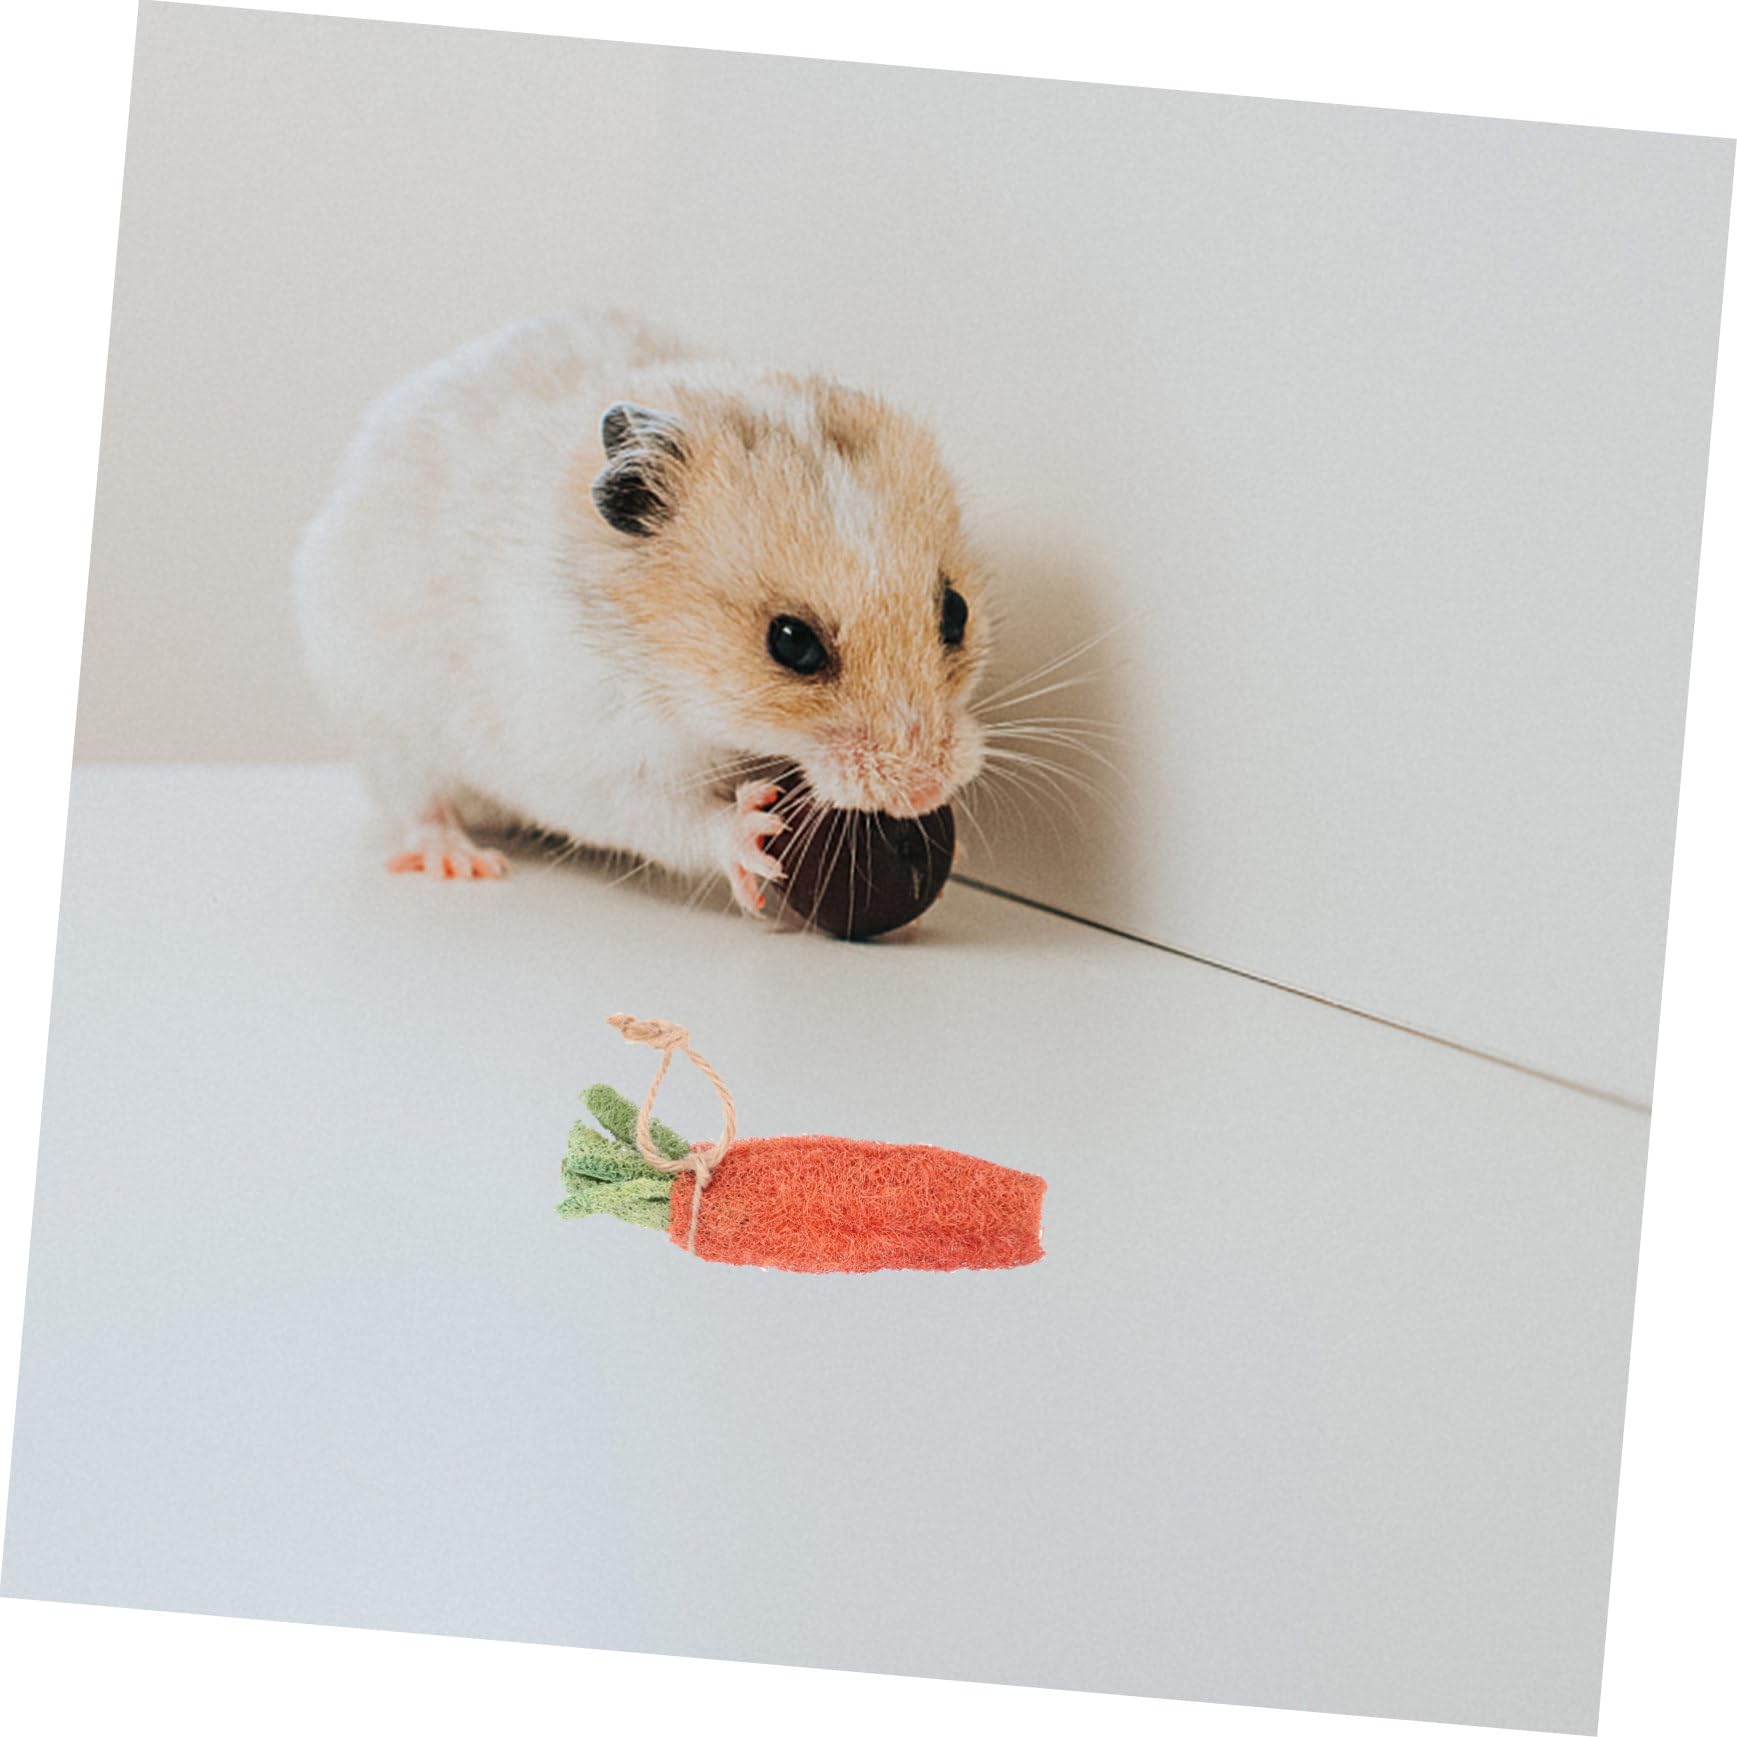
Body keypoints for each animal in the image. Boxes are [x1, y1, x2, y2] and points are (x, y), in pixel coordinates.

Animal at [292, 312, 992, 913]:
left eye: (956, 613)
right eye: (791, 642)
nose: (923, 791)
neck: (672, 675)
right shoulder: (591, 761)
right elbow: (668, 818)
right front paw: (753, 839)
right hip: (383, 723)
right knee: (416, 804)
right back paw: (462, 862)